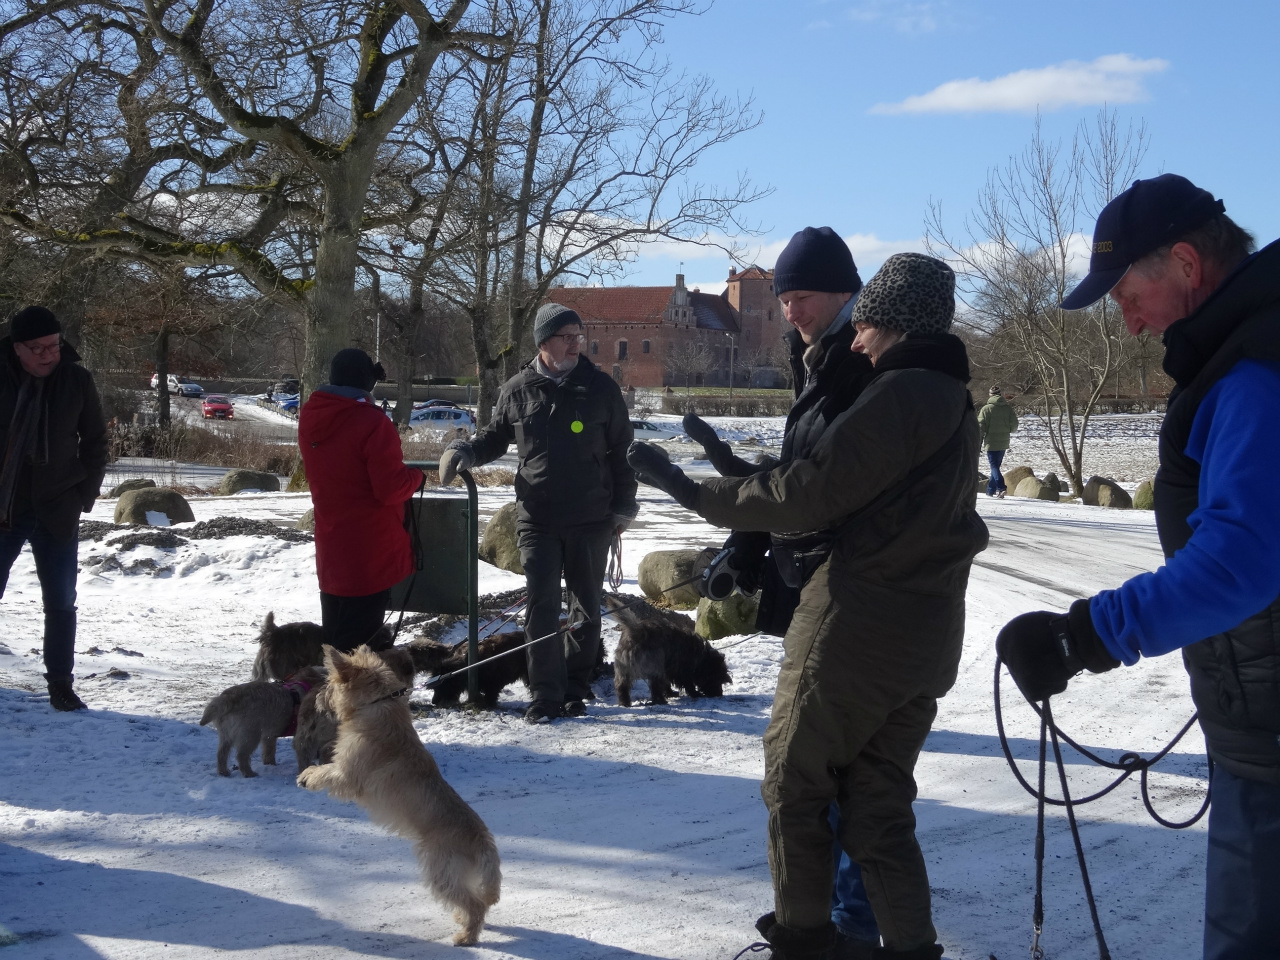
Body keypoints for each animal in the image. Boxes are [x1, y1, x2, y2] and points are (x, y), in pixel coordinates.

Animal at [296, 647, 501, 947]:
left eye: (329, 684)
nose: (317, 699)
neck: (377, 707)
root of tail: (482, 840)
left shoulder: (347, 775)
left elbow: (325, 771)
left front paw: (307, 776)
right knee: (477, 901)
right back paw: (463, 922)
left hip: (441, 872)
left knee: (475, 904)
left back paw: (466, 937)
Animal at [606, 593, 737, 706]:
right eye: (717, 677)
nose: (719, 694)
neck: (700, 657)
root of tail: (637, 632)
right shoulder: (682, 671)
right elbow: (687, 684)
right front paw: (695, 693)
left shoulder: (668, 670)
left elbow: (667, 683)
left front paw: (671, 693)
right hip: (654, 668)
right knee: (655, 687)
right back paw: (660, 701)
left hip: (623, 671)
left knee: (622, 686)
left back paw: (624, 703)